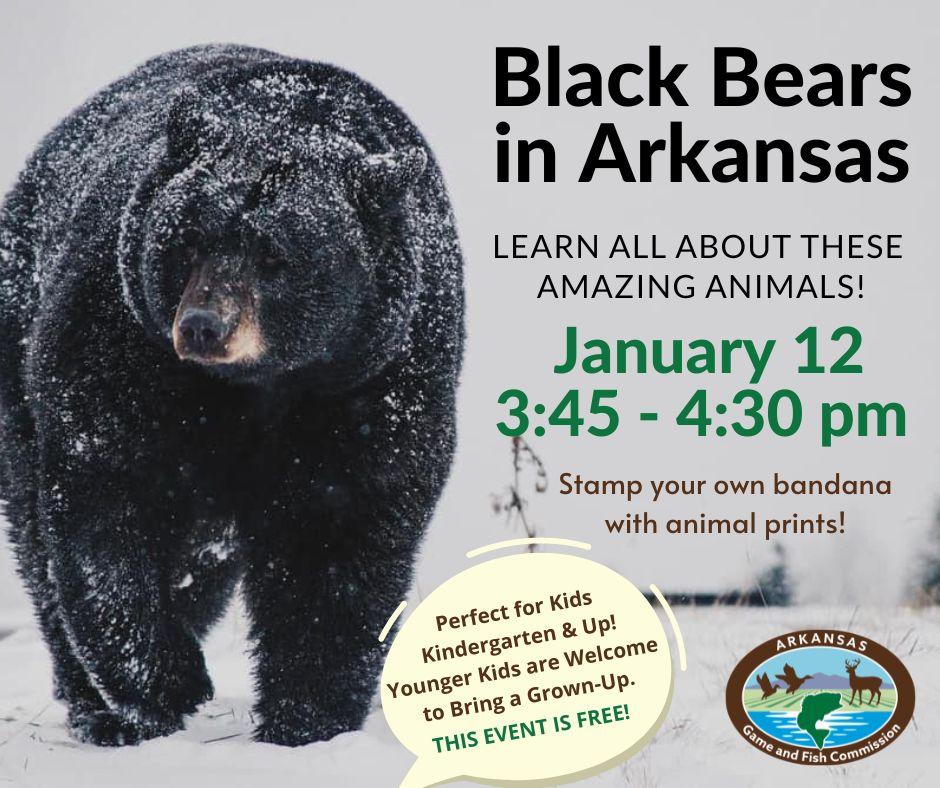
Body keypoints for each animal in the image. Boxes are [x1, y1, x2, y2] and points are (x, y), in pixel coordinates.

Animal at [0, 46, 464, 748]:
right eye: (187, 239)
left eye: (276, 255)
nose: (202, 327)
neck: (254, 390)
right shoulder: (120, 343)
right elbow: (106, 499)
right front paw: (165, 680)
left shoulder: (371, 382)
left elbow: (338, 538)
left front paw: (307, 717)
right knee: (40, 539)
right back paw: (99, 710)